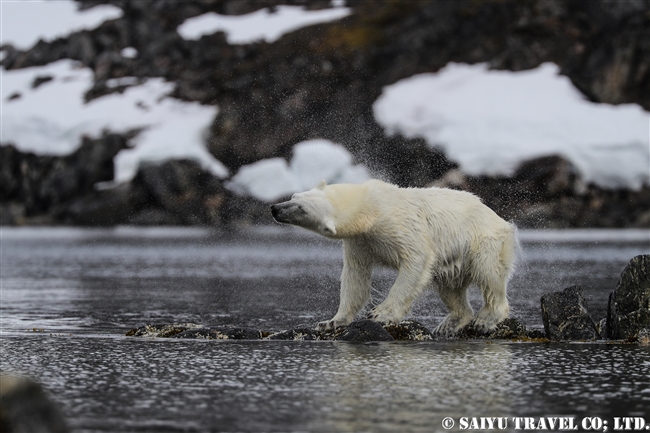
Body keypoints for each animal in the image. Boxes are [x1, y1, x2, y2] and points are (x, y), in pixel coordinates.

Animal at [268, 179, 516, 334]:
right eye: (294, 196)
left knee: (488, 274)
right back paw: (451, 322)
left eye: (301, 209)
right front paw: (330, 322)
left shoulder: (397, 224)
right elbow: (355, 276)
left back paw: (486, 319)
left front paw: (381, 314)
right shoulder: (360, 241)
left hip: (483, 243)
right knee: (449, 288)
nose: (275, 208)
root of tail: (499, 219)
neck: (369, 205)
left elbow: (417, 259)